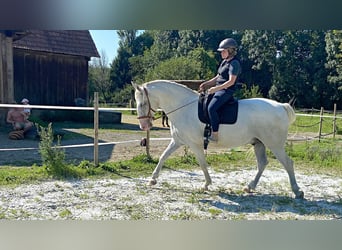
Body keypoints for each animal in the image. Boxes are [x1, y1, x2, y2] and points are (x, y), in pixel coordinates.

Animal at [132, 79, 304, 198]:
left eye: (142, 103)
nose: (144, 126)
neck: (184, 108)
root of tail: (281, 106)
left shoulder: (195, 144)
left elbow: (202, 164)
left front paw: (206, 185)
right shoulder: (178, 141)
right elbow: (163, 157)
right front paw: (153, 179)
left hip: (275, 145)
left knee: (288, 163)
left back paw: (297, 191)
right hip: (259, 143)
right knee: (262, 164)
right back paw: (250, 187)